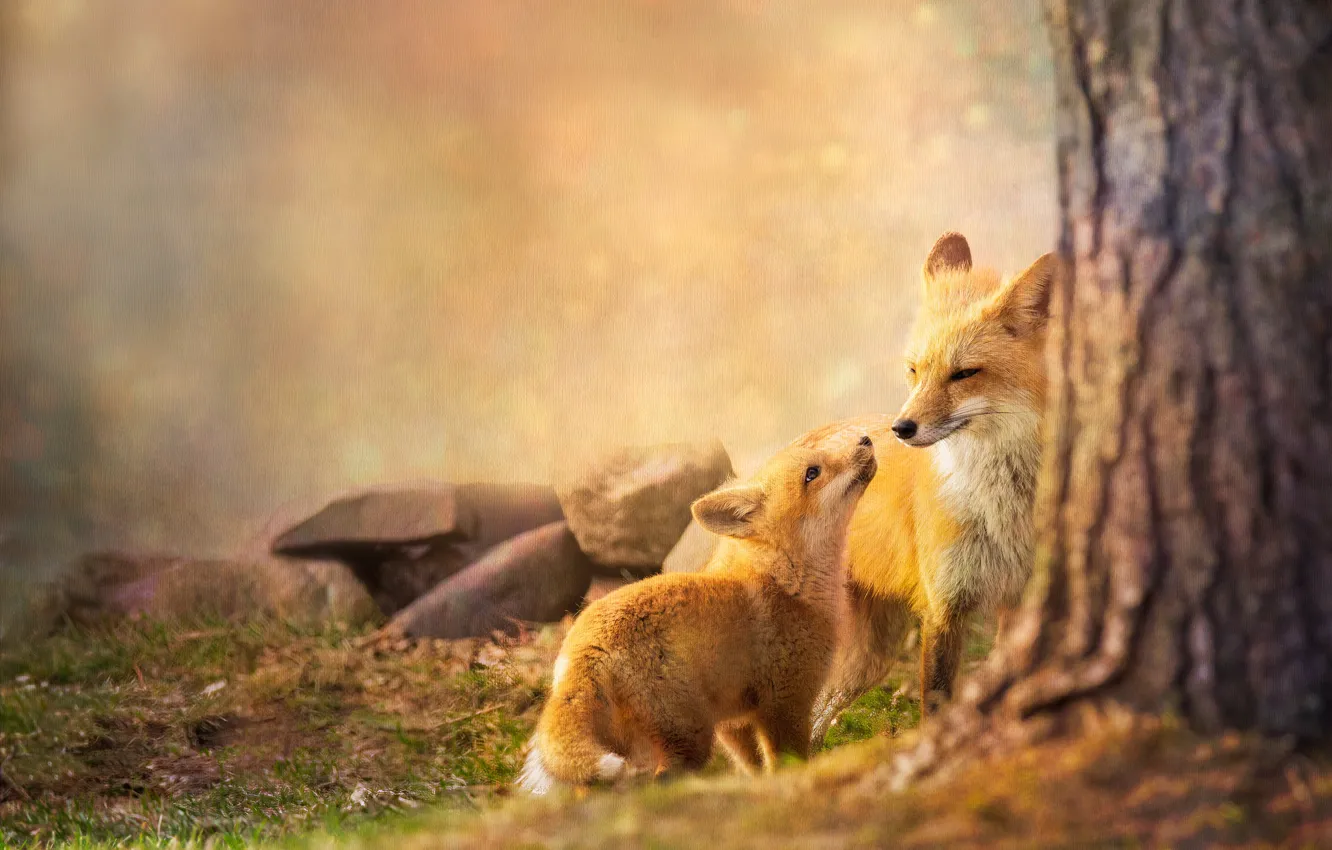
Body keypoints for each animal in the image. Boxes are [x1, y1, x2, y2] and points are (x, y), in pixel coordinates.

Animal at [516, 426, 878, 794]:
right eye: (812, 473)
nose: (865, 439)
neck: (786, 582)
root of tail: (583, 644)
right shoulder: (785, 704)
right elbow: (786, 764)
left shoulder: (735, 722)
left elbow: (753, 769)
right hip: (690, 736)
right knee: (663, 778)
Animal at [808, 232, 1058, 742]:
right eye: (914, 370)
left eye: (963, 373)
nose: (901, 428)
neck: (999, 507)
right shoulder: (944, 605)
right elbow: (937, 701)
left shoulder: (1019, 599)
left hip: (867, 660)